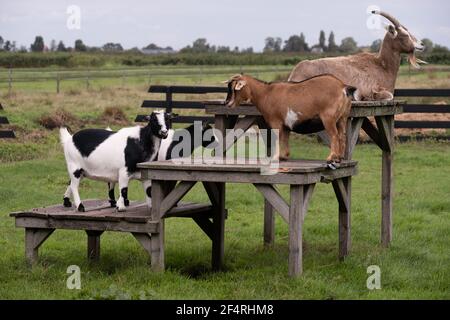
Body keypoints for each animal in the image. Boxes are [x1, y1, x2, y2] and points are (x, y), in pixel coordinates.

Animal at [225, 74, 356, 166]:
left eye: (235, 89)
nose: (227, 103)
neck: (266, 93)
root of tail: (342, 86)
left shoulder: (276, 122)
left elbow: (278, 138)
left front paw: (275, 157)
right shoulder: (286, 125)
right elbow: (285, 139)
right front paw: (284, 156)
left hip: (329, 118)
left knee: (334, 135)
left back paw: (331, 158)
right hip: (342, 118)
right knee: (342, 136)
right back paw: (339, 158)